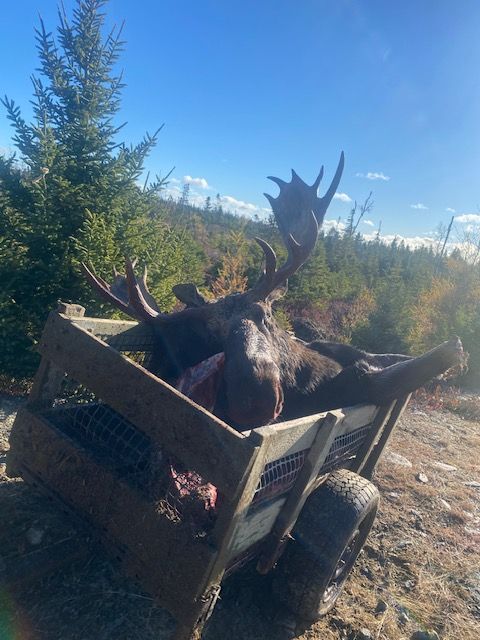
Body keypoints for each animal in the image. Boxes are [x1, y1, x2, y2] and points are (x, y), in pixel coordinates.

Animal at [82, 153, 466, 430]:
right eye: (214, 338)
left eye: (265, 316)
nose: (254, 399)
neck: (309, 381)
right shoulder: (361, 384)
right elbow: (399, 371)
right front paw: (452, 349)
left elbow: (391, 364)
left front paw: (450, 349)